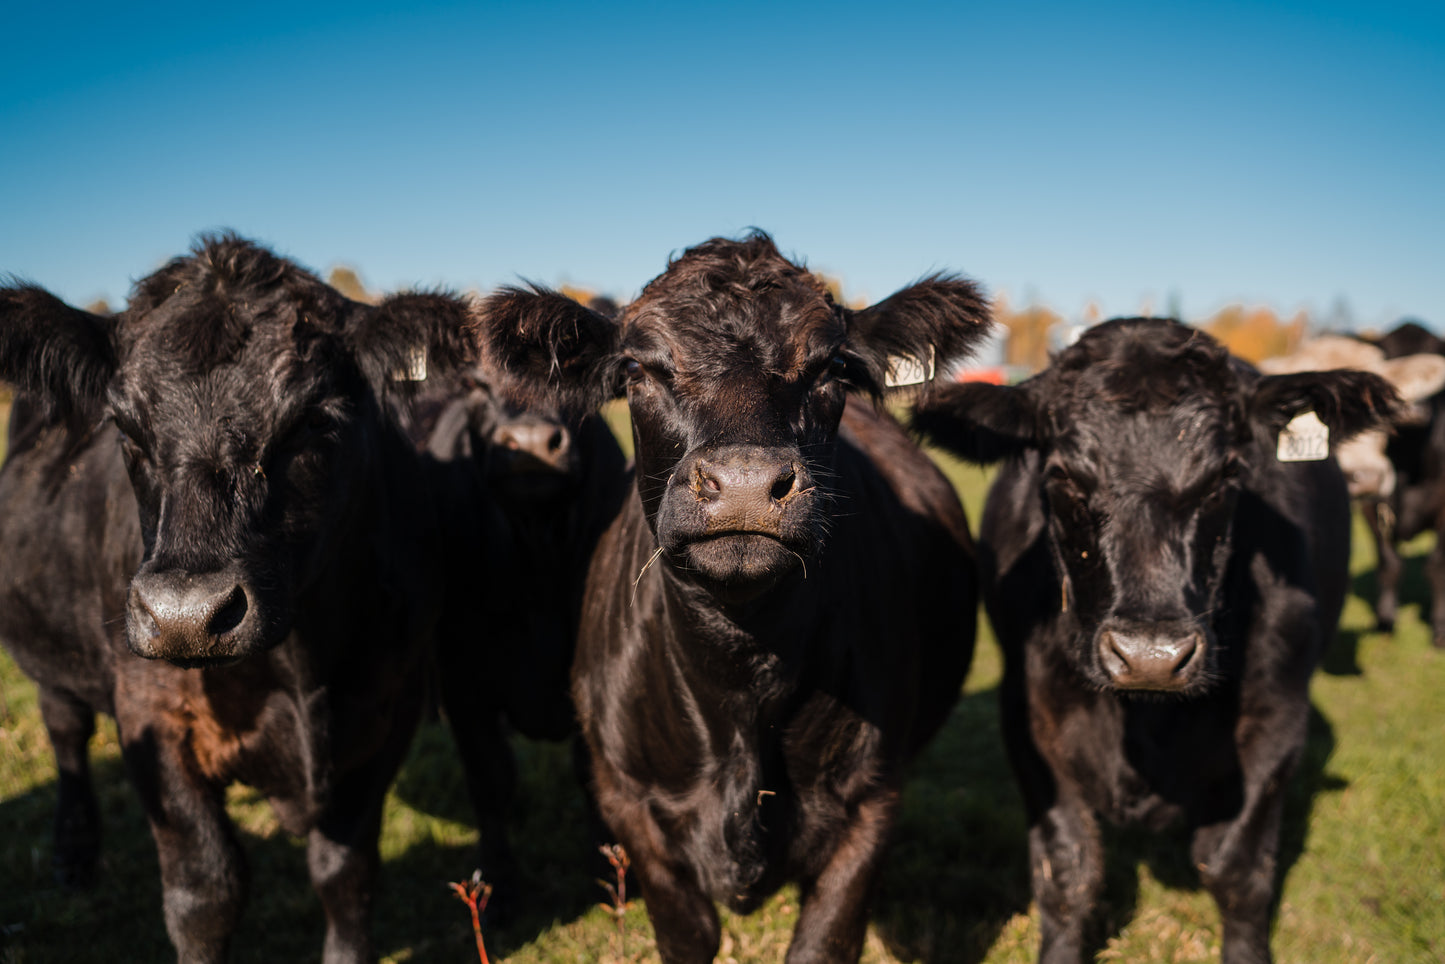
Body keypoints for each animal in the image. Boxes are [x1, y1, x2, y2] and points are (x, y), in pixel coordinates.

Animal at [0, 235, 479, 964]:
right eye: (126, 429)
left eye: (312, 420)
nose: (184, 616)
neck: (302, 663)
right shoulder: (151, 715)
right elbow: (207, 890)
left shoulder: (387, 706)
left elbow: (346, 872)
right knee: (66, 731)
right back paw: (74, 856)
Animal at [413, 358, 627, 901]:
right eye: (474, 383)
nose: (529, 443)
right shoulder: (463, 684)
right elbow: (491, 778)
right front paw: (498, 888)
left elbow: (590, 772)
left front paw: (609, 875)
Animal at [482, 234, 994, 964]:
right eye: (637, 369)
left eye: (833, 367)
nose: (747, 482)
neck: (741, 679)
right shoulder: (634, 809)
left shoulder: (870, 805)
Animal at [913, 317, 1398, 964]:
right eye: (1063, 477)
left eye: (1226, 477)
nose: (1150, 658)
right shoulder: (1029, 715)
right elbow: (1068, 871)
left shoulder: (1278, 718)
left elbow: (1237, 871)